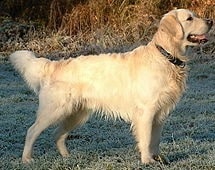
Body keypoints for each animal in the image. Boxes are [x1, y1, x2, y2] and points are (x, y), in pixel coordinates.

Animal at [9, 8, 212, 164]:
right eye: (189, 18)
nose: (210, 21)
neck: (166, 56)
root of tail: (54, 65)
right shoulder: (146, 112)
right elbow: (146, 140)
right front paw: (147, 161)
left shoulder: (160, 114)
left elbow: (155, 140)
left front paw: (158, 159)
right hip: (54, 110)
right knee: (32, 131)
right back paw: (27, 159)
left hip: (77, 114)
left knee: (58, 134)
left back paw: (67, 157)